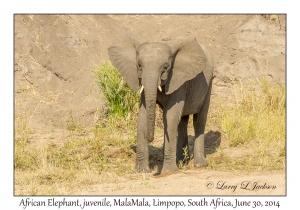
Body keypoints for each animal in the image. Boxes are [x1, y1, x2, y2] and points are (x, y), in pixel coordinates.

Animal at [108, 30, 213, 172]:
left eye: (165, 67)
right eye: (139, 65)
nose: (150, 139)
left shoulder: (179, 80)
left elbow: (170, 116)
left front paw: (168, 171)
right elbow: (143, 115)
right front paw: (142, 171)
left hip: (209, 82)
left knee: (199, 121)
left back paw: (199, 164)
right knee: (182, 122)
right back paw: (181, 163)